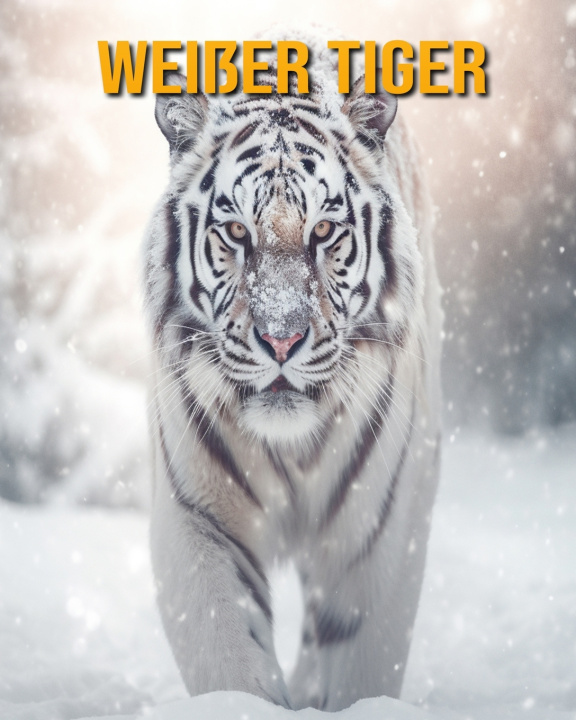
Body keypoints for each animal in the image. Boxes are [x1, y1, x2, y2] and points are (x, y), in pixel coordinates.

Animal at [143, 35, 442, 713]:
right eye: (235, 232)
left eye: (324, 231)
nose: (282, 338)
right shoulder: (198, 517)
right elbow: (228, 657)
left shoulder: (379, 531)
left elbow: (360, 662)